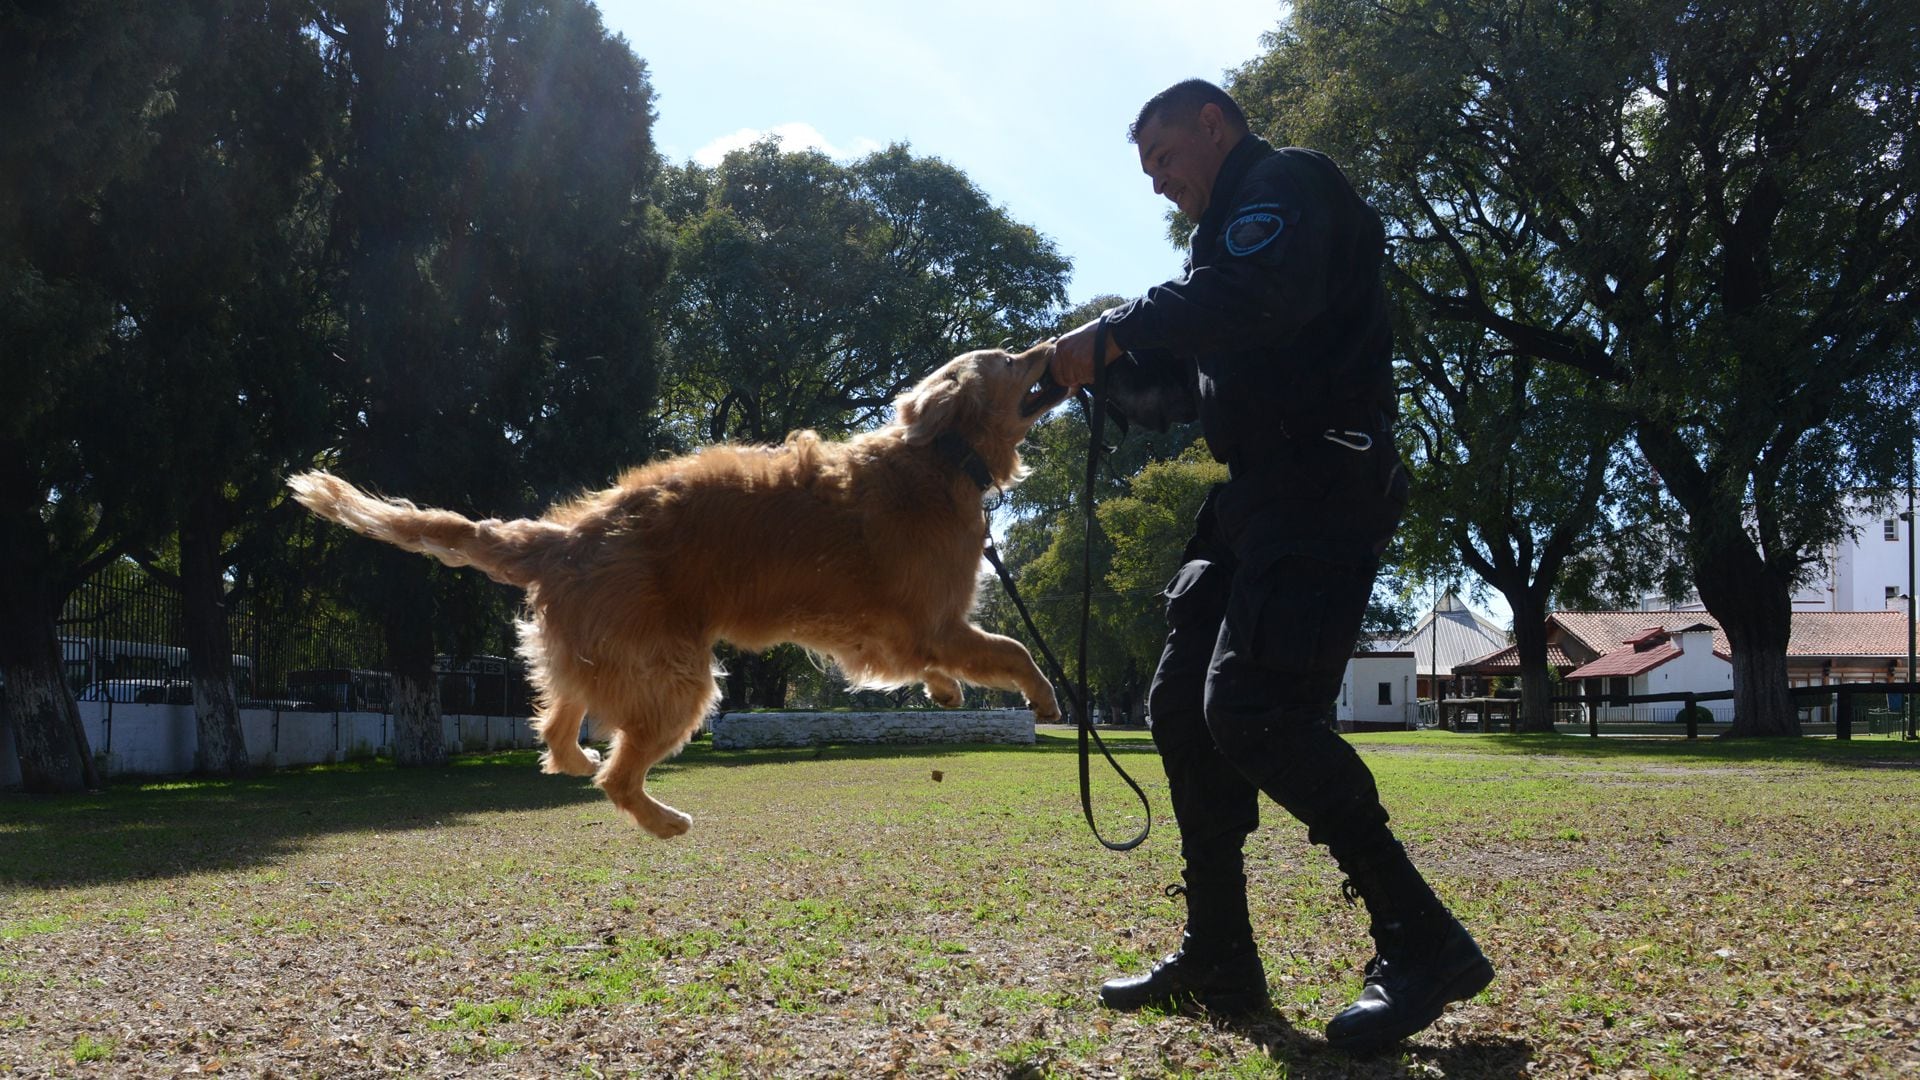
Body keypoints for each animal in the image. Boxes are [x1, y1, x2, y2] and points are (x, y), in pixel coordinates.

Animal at [288, 342, 1067, 834]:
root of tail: (567, 539)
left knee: (556, 727)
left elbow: (938, 663)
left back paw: (578, 756)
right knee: (616, 778)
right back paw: (663, 821)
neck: (942, 458)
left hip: (599, 657)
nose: (1055, 344)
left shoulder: (904, 634)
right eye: (1008, 359)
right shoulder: (936, 622)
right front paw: (1044, 698)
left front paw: (945, 691)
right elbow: (1014, 649)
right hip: (679, 678)